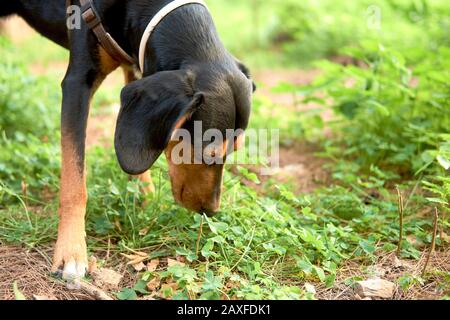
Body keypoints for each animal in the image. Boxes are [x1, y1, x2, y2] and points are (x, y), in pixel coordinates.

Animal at [0, 0, 253, 280]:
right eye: (205, 153)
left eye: (234, 150)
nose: (211, 210)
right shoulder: (78, 81)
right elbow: (74, 181)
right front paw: (71, 251)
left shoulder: (137, 65)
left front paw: (147, 198)